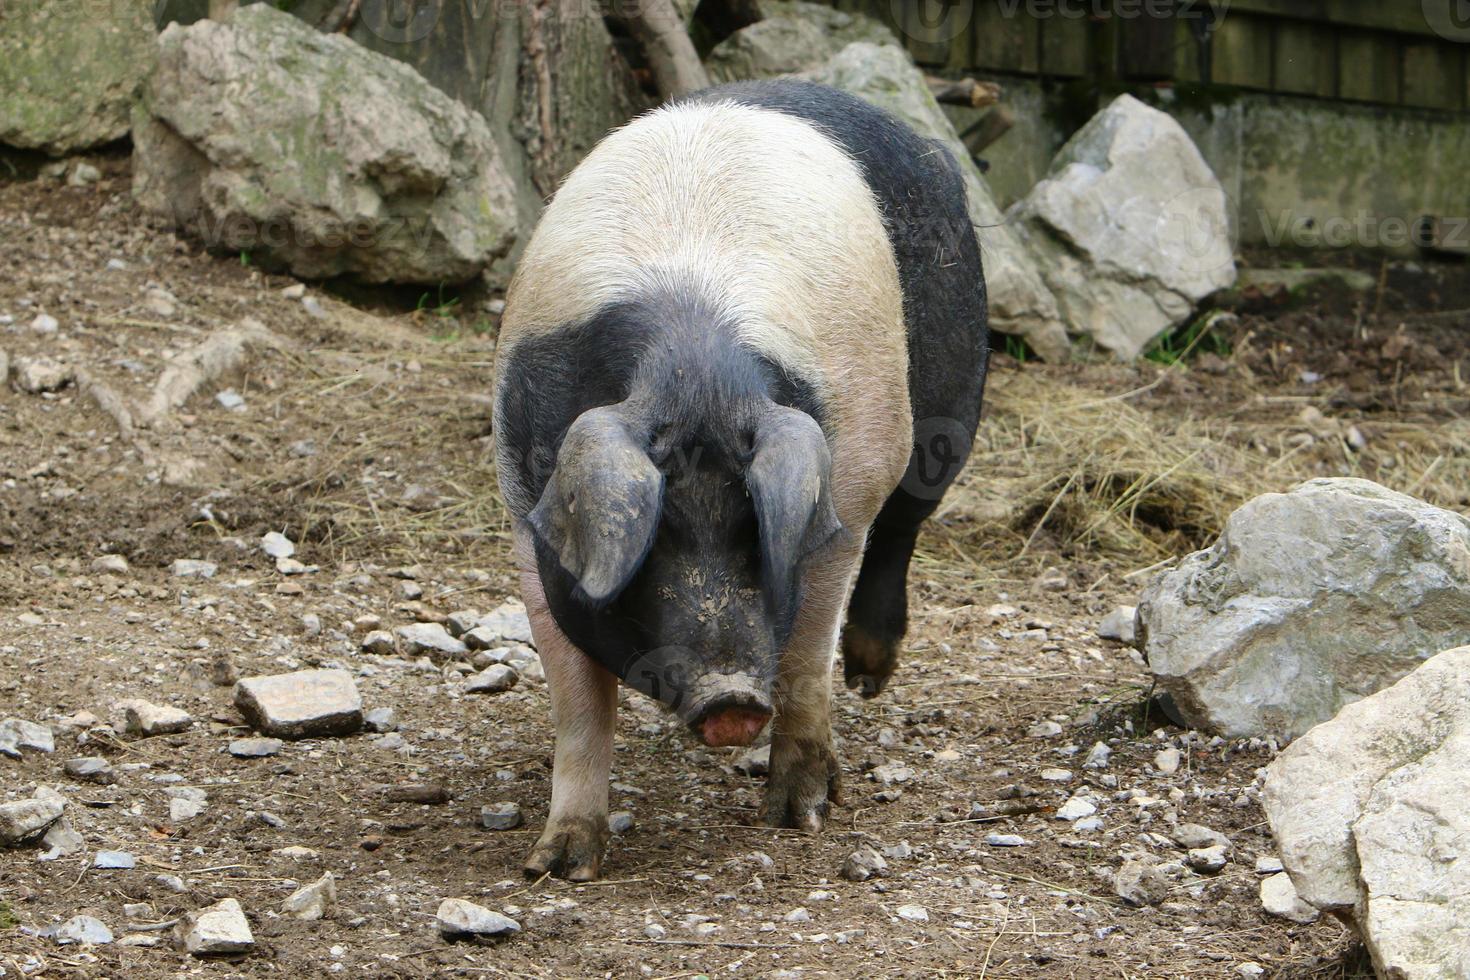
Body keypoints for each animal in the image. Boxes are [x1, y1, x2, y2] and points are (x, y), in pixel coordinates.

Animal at [493, 80, 987, 881]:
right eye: (651, 542)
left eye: (754, 533)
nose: (730, 698)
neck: (690, 367)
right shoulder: (523, 513)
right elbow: (577, 700)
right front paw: (559, 863)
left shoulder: (844, 492)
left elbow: (807, 652)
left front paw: (800, 816)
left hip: (950, 403)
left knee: (906, 525)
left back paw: (869, 677)